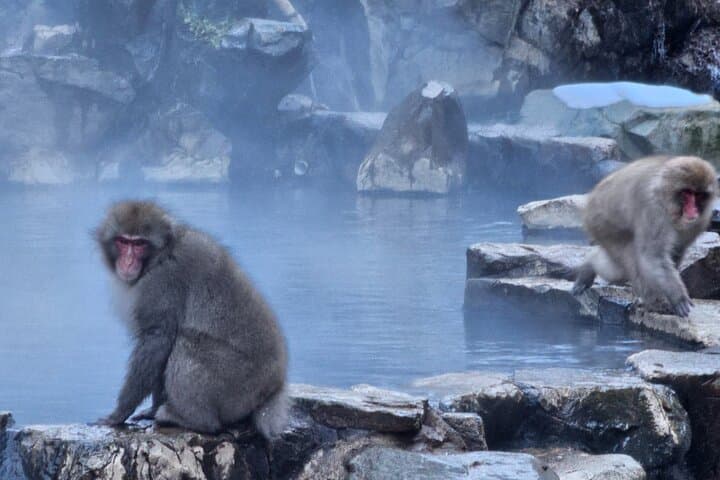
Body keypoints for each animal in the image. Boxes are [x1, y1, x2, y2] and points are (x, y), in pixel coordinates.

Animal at [94, 201, 288, 438]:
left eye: (139, 244)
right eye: (123, 241)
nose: (128, 261)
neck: (160, 256)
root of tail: (274, 388)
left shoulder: (162, 282)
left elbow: (157, 340)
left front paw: (119, 414)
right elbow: (158, 350)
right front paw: (151, 409)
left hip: (238, 386)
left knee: (185, 343)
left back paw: (192, 420)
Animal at [572, 155, 718, 317]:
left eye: (698, 195)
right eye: (686, 193)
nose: (693, 211)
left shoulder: (701, 220)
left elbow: (677, 251)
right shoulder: (654, 211)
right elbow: (653, 256)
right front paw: (677, 297)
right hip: (601, 224)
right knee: (629, 262)